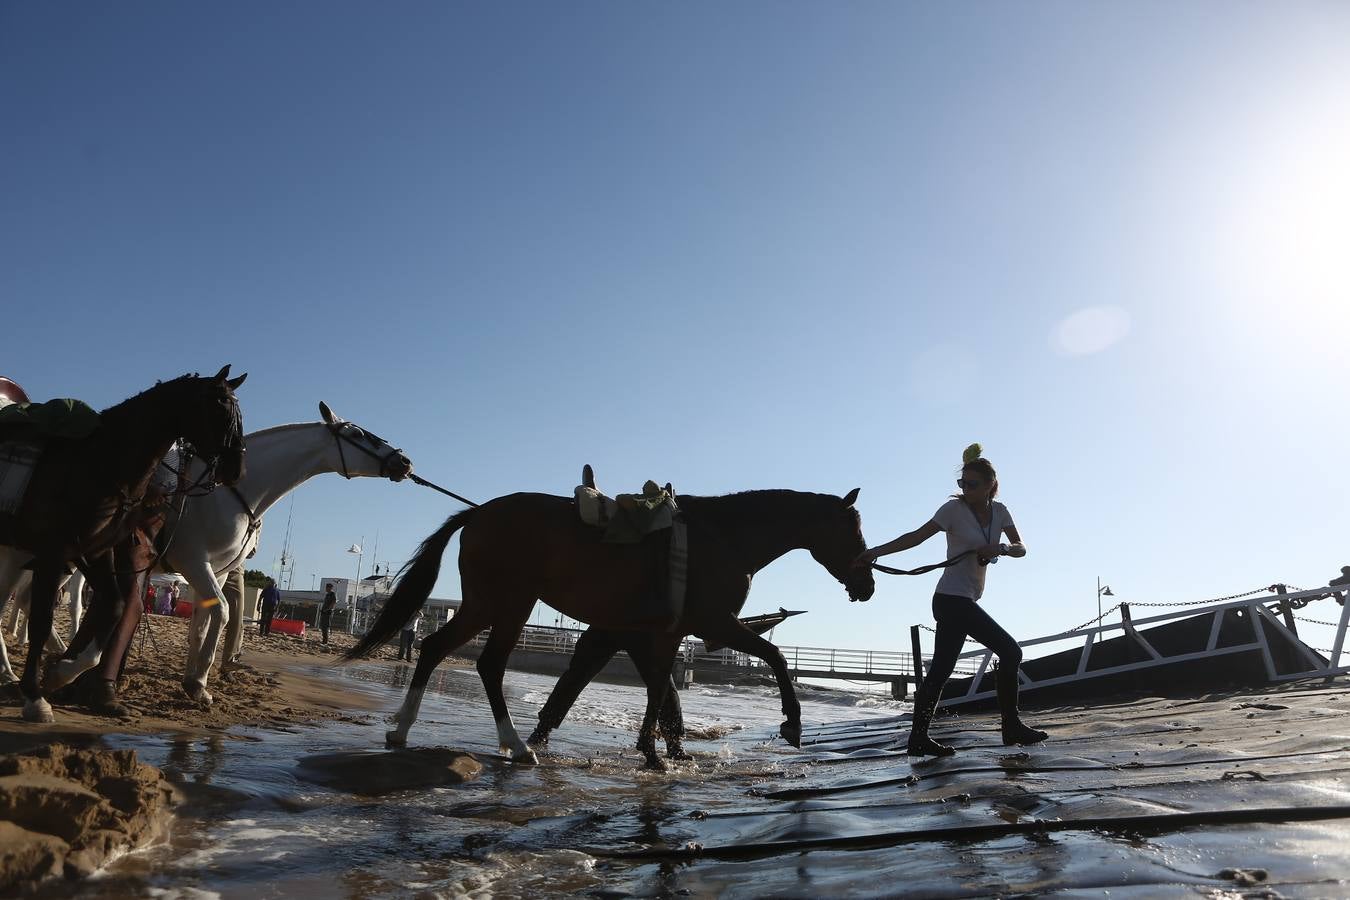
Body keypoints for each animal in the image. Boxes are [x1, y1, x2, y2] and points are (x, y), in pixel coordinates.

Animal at [0, 367, 248, 723]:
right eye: (220, 408)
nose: (236, 469)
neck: (98, 463)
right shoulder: (52, 554)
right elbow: (41, 621)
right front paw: (35, 697)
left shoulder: (94, 552)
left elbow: (115, 607)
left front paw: (62, 673)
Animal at [24, 404, 410, 707]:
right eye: (359, 434)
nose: (404, 461)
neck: (230, 490)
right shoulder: (195, 563)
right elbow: (223, 612)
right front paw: (197, 684)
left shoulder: (218, 570)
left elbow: (201, 624)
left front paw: (194, 680)